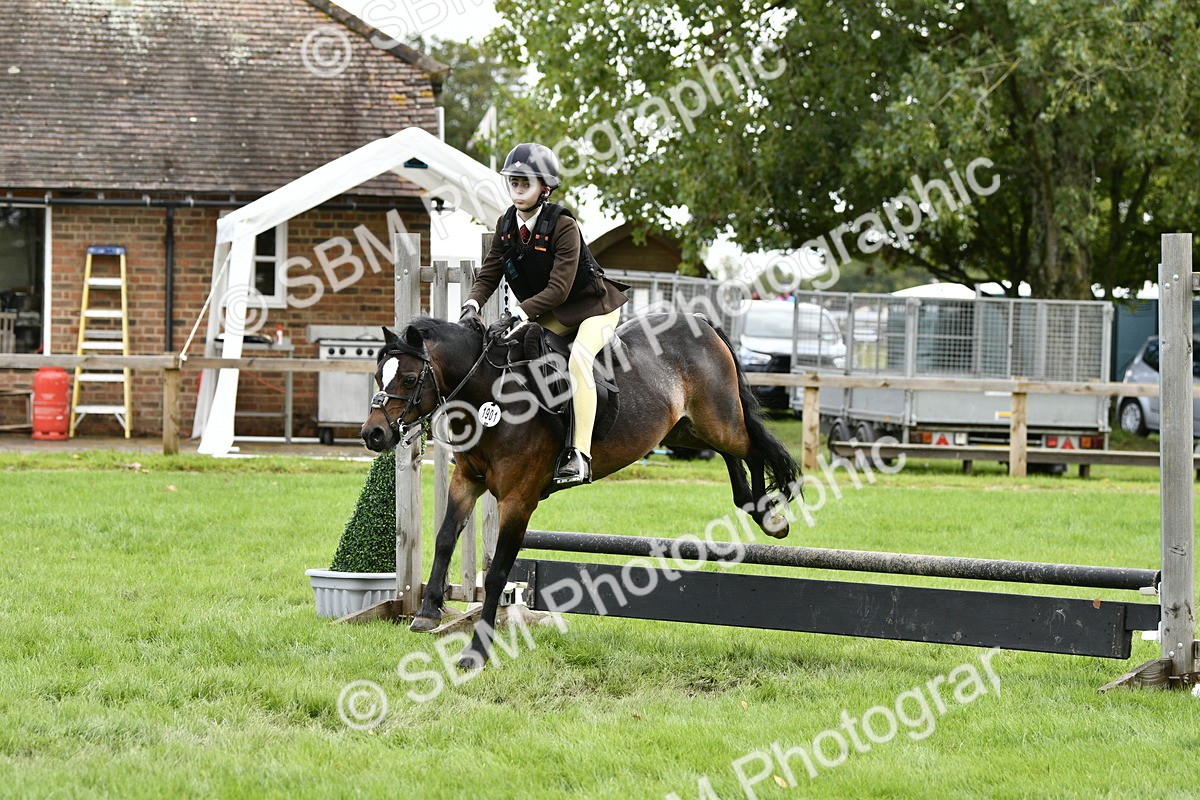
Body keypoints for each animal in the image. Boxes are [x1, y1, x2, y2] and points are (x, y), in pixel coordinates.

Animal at [361, 312, 800, 669]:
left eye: (410, 378)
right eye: (379, 375)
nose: (373, 435)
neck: (491, 396)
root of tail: (702, 323)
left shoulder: (518, 500)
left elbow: (499, 572)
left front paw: (476, 653)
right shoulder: (466, 481)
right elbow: (445, 538)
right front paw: (427, 612)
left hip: (717, 421)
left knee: (752, 447)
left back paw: (770, 517)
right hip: (685, 429)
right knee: (733, 455)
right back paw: (755, 506)